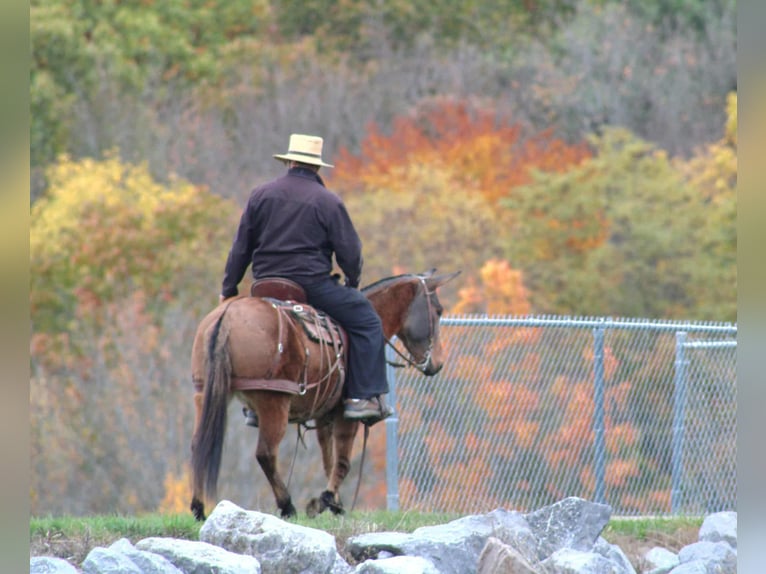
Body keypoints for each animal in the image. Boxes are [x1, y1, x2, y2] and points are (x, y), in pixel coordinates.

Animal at [189, 269, 460, 521]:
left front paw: (335, 504)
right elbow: (342, 462)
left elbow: (328, 459)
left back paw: (198, 508)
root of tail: (226, 315)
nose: (437, 364)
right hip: (273, 402)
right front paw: (325, 501)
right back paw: (287, 505)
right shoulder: (345, 413)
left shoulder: (323, 415)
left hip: (205, 396)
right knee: (265, 454)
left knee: (199, 445)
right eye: (438, 310)